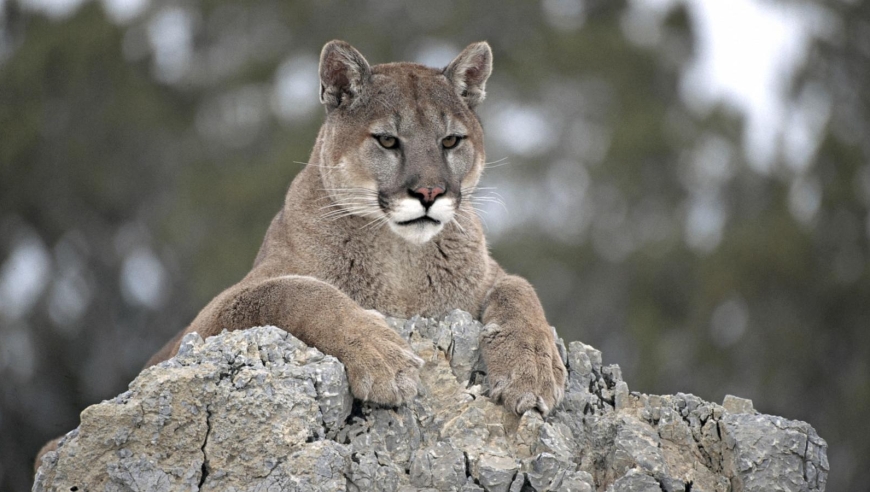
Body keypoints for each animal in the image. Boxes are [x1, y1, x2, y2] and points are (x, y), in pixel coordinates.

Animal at [37, 38, 572, 468]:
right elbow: (298, 290)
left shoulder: (487, 276)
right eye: (387, 140)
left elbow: (520, 289)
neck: (401, 260)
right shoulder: (211, 319)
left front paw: (533, 368)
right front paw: (381, 355)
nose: (429, 193)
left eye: (451, 140)